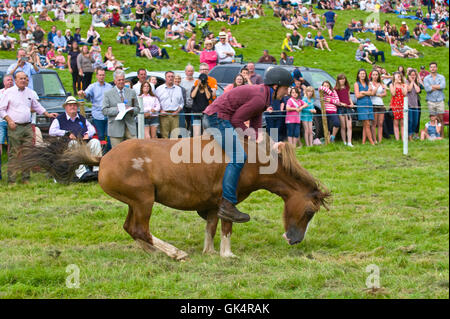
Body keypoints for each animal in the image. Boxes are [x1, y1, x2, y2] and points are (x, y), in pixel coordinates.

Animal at [16, 136, 330, 262]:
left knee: (132, 229)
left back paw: (155, 251)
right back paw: (174, 253)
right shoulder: (228, 201)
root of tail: (102, 158)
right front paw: (227, 254)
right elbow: (227, 225)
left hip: (134, 202)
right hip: (143, 200)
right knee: (140, 229)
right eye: (310, 212)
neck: (250, 160)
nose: (295, 240)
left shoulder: (212, 203)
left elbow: (211, 225)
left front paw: (209, 251)